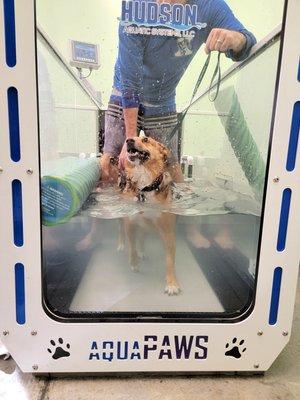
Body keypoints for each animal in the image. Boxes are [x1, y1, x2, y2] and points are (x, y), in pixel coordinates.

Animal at [100, 136, 180, 296]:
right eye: (130, 139)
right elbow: (132, 247)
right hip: (122, 218)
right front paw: (134, 263)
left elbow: (169, 261)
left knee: (143, 235)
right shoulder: (130, 223)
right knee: (121, 230)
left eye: (146, 139)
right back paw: (121, 244)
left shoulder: (168, 232)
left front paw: (172, 283)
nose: (129, 140)